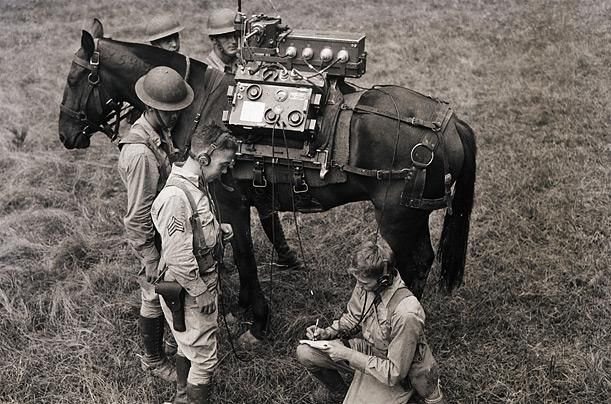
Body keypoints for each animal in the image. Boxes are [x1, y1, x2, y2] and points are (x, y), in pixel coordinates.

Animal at [58, 19, 478, 340]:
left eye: (77, 78)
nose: (65, 134)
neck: (202, 105)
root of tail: (448, 122)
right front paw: (246, 305)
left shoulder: (230, 201)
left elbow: (244, 255)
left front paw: (258, 317)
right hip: (412, 215)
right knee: (421, 260)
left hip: (396, 217)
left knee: (411, 264)